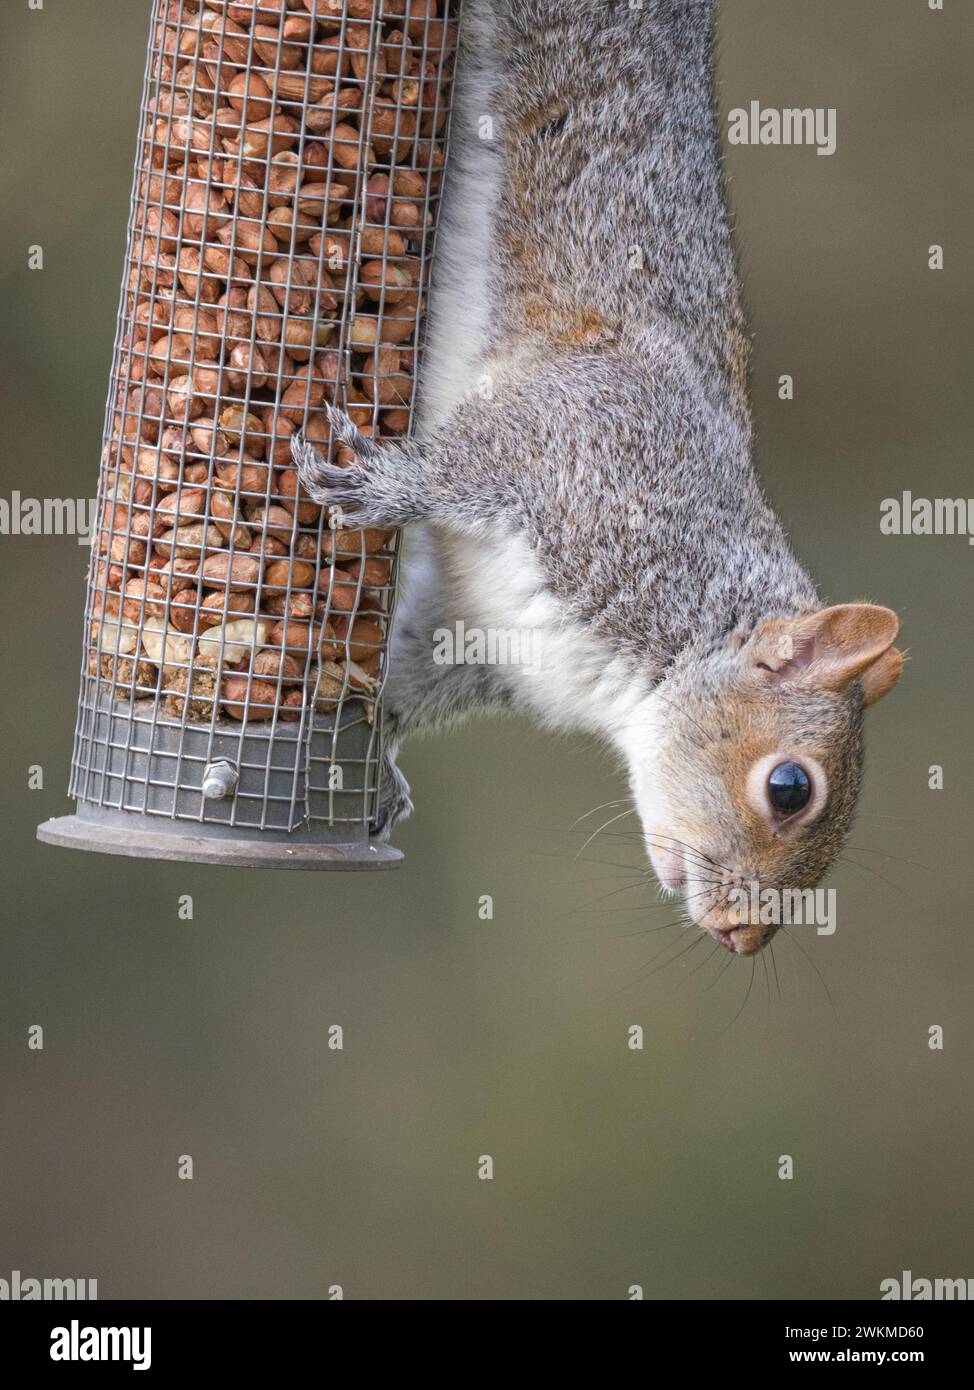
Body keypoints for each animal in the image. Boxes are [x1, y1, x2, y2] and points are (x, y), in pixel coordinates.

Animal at [294, 0, 903, 956]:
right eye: (790, 789)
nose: (743, 938)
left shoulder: (473, 633)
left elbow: (403, 673)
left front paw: (367, 757)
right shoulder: (588, 449)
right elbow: (470, 461)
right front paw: (381, 489)